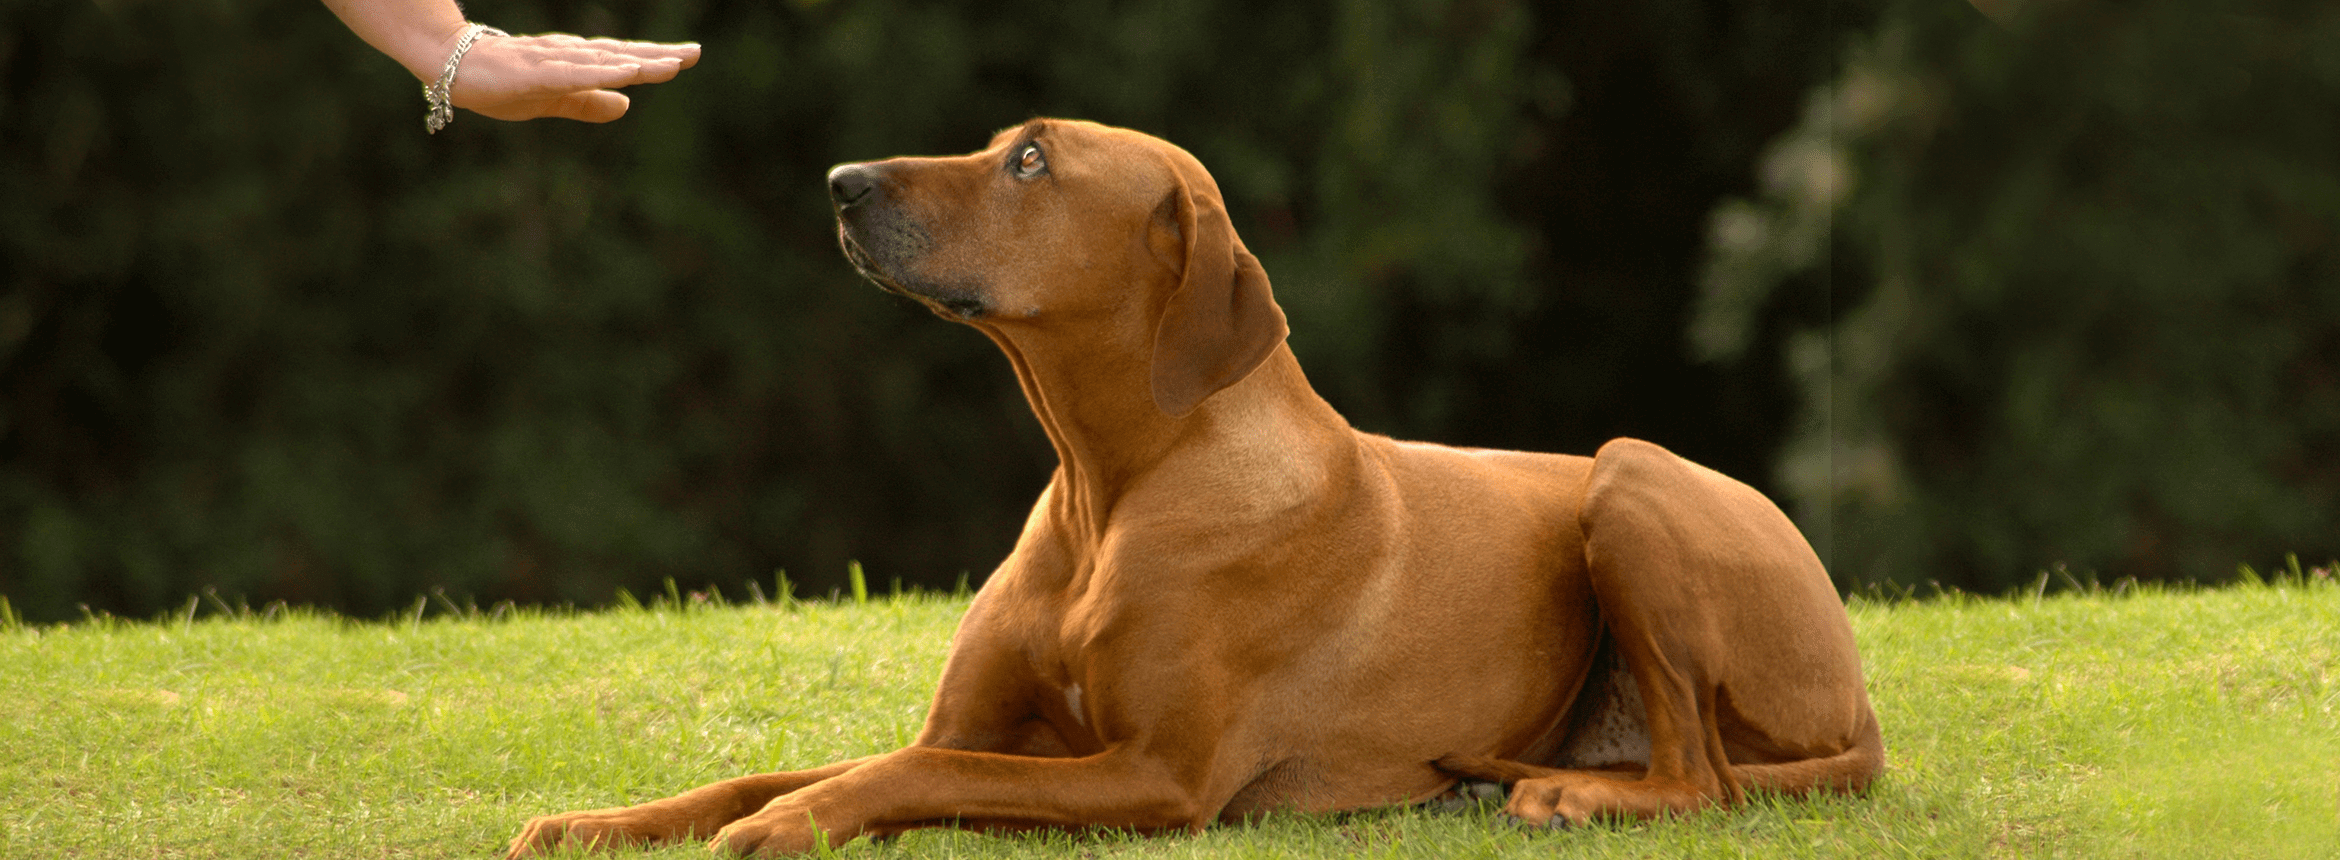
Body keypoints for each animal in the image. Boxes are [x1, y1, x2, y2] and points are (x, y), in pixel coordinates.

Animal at [507, 117, 1881, 855]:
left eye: (1030, 162)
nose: (843, 183)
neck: (1109, 486)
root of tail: (1860, 695)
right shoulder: (973, 724)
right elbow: (775, 769)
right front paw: (599, 820)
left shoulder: (1155, 777)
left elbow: (893, 777)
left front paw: (792, 823)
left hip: (1630, 476)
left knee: (1702, 774)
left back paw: (1567, 789)